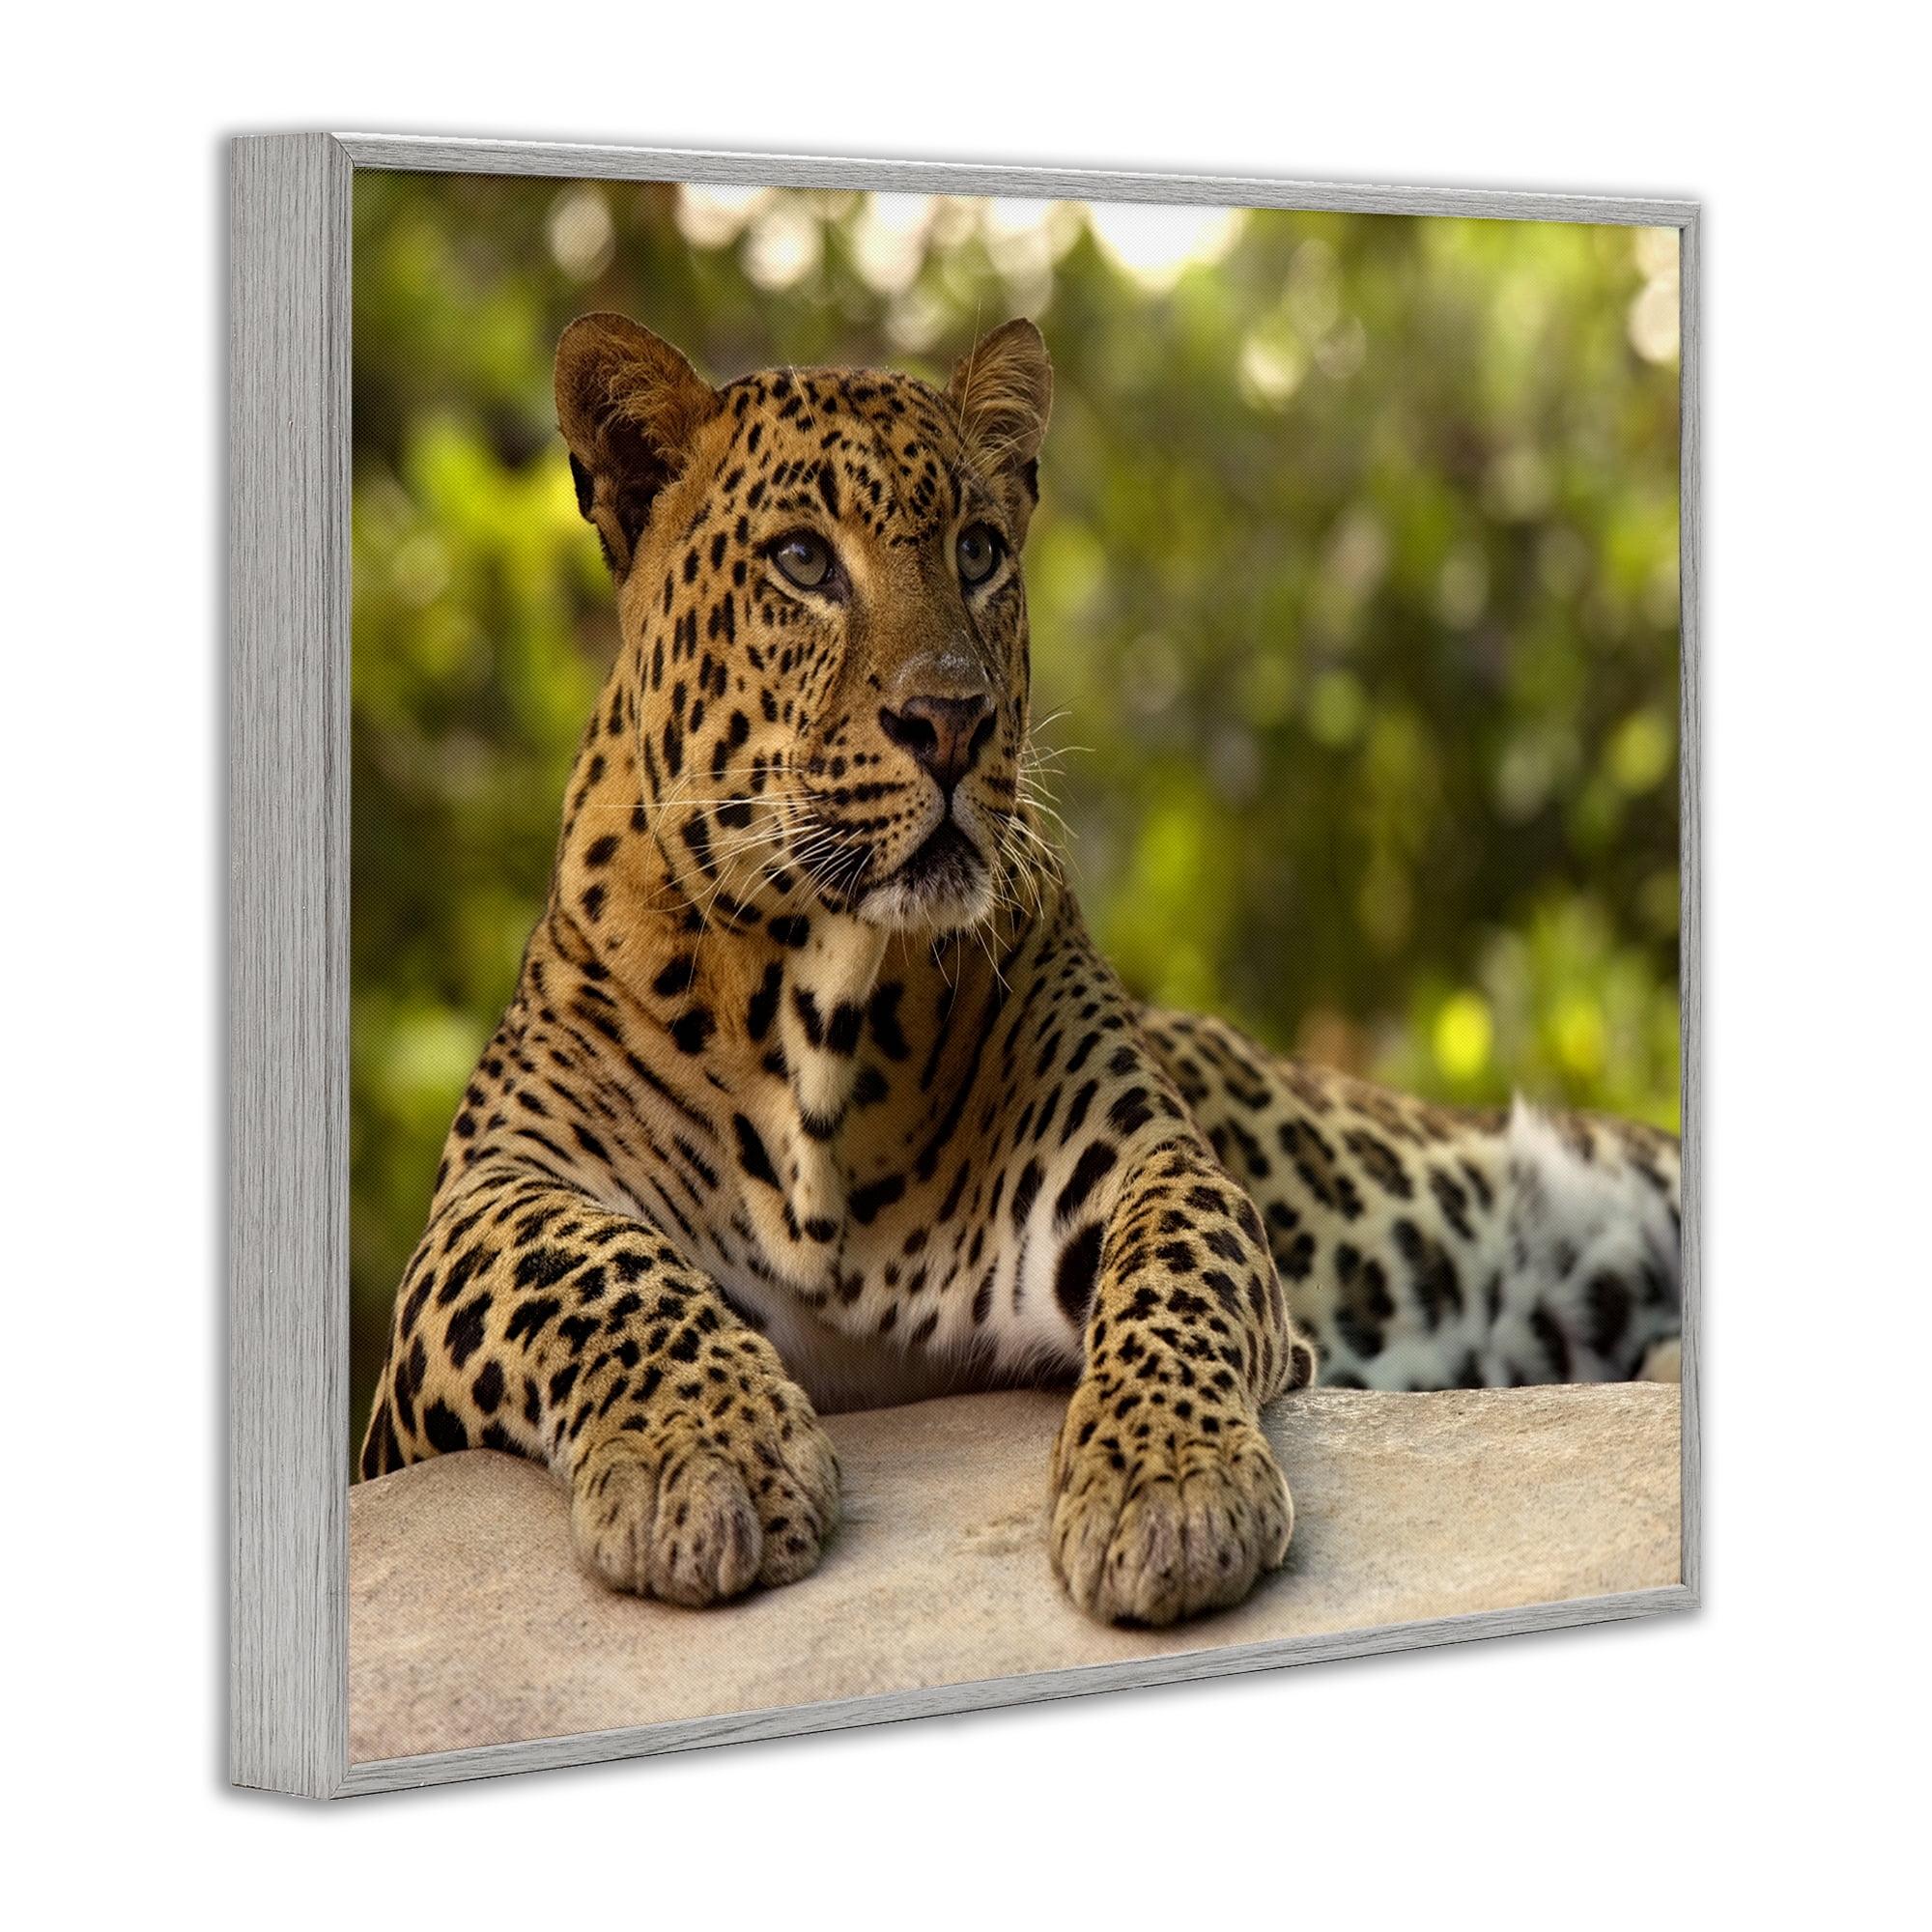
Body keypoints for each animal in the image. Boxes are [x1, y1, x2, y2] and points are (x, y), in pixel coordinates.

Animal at [359, 311, 1682, 1628]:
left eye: (979, 550)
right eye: (803, 560)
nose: (952, 718)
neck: (817, 1006)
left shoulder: (1138, 1161)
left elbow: (1173, 1270)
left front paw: (1166, 1483)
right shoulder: (478, 1217)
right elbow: (587, 1266)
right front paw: (707, 1452)